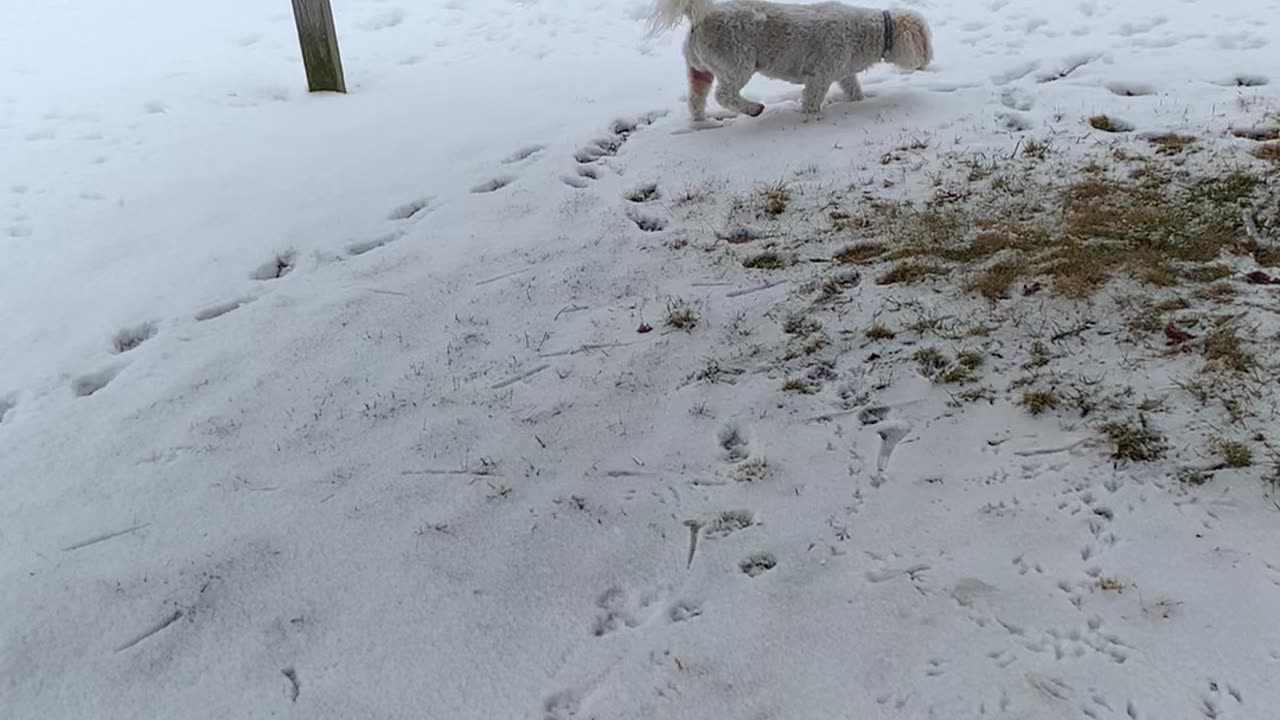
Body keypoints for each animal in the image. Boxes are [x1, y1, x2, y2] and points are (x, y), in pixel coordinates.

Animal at [650, 0, 931, 119]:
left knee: (696, 98)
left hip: (700, 69)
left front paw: (858, 101)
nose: (928, 60)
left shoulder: (843, 71)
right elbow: (812, 99)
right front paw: (809, 115)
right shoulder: (820, 75)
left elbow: (853, 88)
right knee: (724, 95)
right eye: (926, 42)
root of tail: (700, 18)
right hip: (737, 62)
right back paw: (753, 108)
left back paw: (700, 121)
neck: (869, 31)